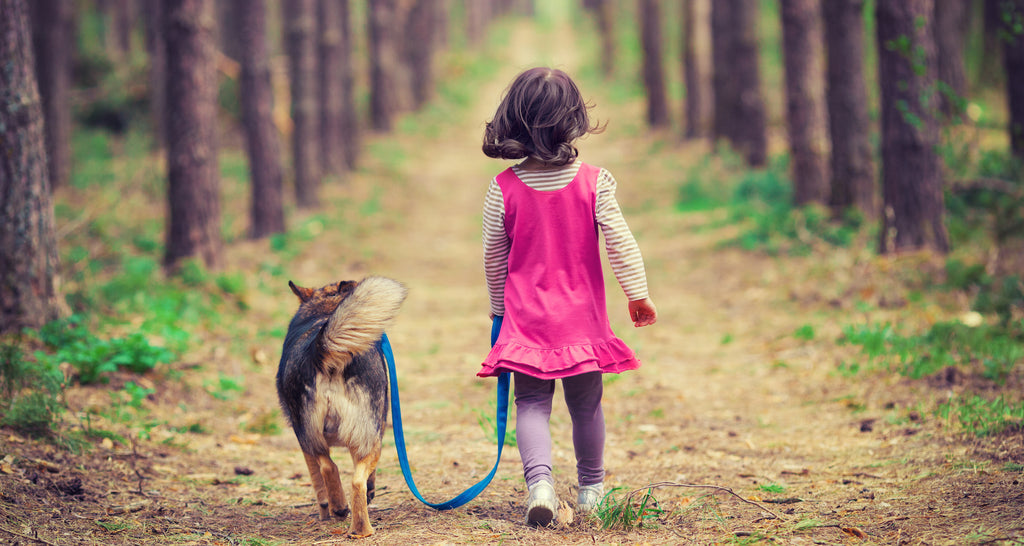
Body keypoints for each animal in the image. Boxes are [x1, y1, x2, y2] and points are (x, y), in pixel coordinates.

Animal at [280, 276, 411, 536]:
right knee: (354, 479)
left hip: (312, 435)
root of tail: (320, 351)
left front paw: (325, 511)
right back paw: (360, 527)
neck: (324, 310)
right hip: (368, 438)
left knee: (328, 467)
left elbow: (317, 480)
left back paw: (341, 510)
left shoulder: (305, 444)